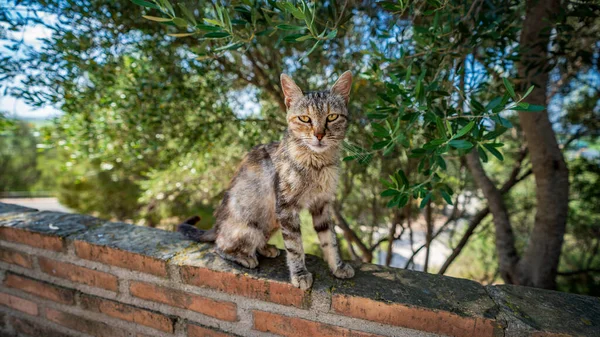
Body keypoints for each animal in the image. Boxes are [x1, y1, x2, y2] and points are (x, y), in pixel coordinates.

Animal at [180, 71, 354, 288]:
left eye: (332, 117)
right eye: (305, 119)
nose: (319, 135)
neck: (318, 164)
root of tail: (216, 226)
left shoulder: (322, 204)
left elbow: (329, 239)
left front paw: (337, 267)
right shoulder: (286, 208)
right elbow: (295, 246)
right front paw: (300, 274)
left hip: (271, 221)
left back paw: (266, 249)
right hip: (252, 227)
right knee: (219, 247)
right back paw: (245, 256)